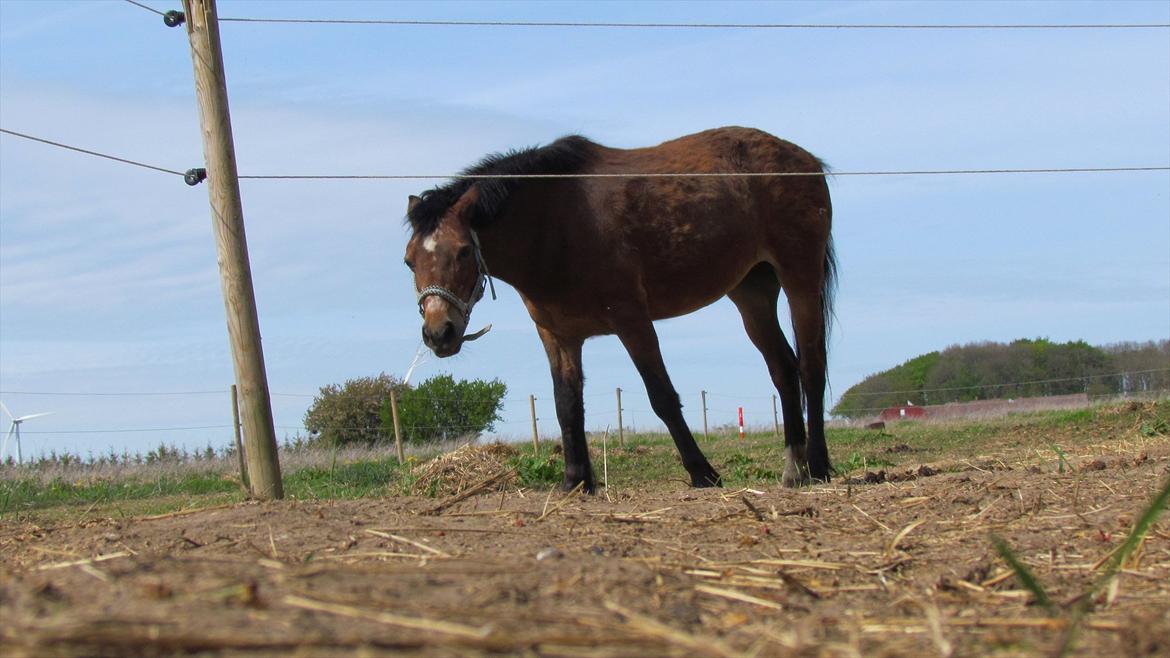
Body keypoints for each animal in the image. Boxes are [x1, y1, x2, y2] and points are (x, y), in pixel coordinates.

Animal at [407, 127, 837, 487]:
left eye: (464, 252)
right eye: (410, 260)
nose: (438, 333)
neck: (555, 225)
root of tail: (808, 160)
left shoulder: (632, 321)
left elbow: (662, 397)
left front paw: (703, 474)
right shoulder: (558, 336)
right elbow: (567, 405)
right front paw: (576, 481)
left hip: (800, 278)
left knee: (811, 367)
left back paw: (818, 465)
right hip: (752, 294)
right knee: (783, 370)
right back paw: (794, 469)